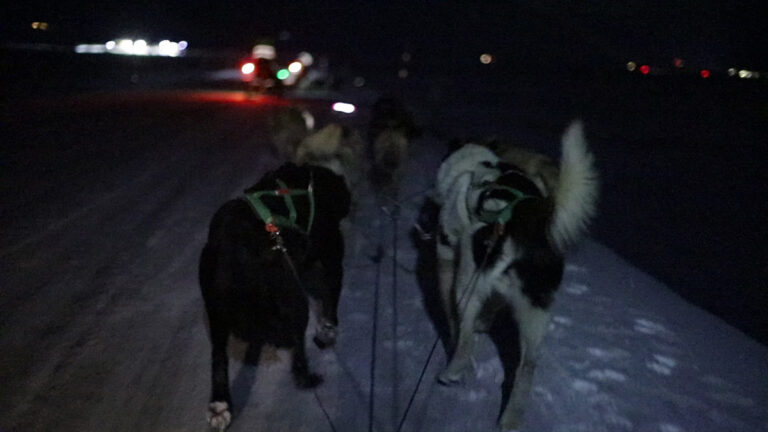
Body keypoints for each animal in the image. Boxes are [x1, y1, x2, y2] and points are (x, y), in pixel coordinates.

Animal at [200, 163, 352, 432]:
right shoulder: (332, 260)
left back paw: (220, 407)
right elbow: (331, 303)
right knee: (299, 356)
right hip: (296, 301)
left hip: (216, 315)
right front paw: (328, 331)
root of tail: (233, 251)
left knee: (218, 359)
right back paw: (308, 377)